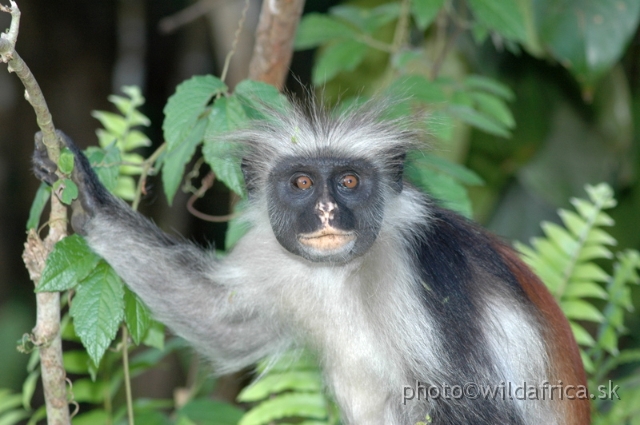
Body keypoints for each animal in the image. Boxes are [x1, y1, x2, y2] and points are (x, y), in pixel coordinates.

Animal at [31, 102, 592, 424]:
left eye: (348, 181)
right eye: (302, 183)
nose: (326, 211)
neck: (344, 272)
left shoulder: (429, 267)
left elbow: (484, 410)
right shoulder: (275, 256)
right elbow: (222, 322)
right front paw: (87, 199)